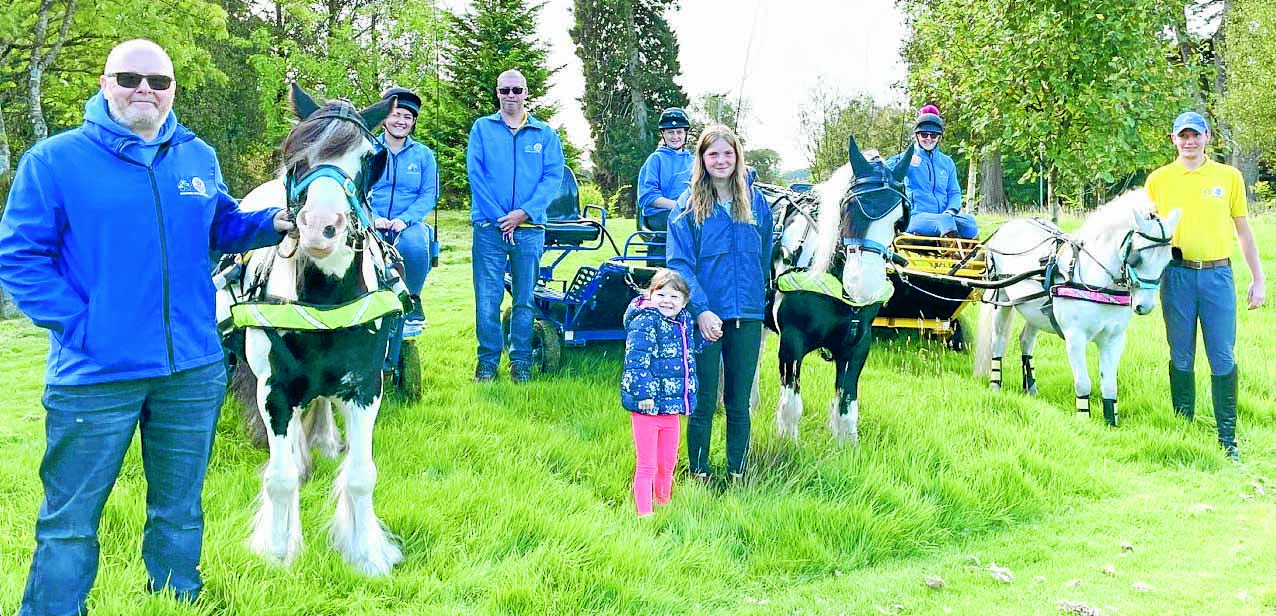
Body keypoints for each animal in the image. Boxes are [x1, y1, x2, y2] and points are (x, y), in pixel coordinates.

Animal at [219, 86, 408, 579]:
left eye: (371, 159)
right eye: (294, 155)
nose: (321, 228)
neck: (324, 300)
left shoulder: (366, 385)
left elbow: (361, 476)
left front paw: (366, 554)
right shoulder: (274, 389)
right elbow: (280, 477)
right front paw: (277, 551)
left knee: (321, 400)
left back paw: (323, 441)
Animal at [760, 135, 913, 443]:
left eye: (898, 221)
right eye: (847, 209)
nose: (863, 284)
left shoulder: (858, 344)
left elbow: (846, 405)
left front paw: (846, 447)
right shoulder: (791, 341)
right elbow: (791, 404)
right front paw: (787, 443)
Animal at [969, 192, 1179, 428]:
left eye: (1168, 260)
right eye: (1137, 258)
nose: (1145, 306)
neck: (1096, 281)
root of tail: (1008, 226)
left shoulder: (1114, 340)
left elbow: (1109, 385)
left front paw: (1111, 423)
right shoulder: (1075, 337)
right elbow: (1083, 382)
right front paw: (1084, 419)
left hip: (1035, 311)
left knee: (1025, 340)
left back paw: (1031, 387)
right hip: (1001, 299)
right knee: (998, 341)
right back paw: (995, 384)